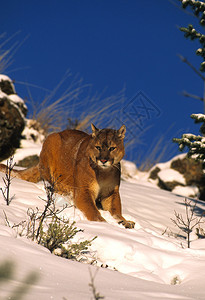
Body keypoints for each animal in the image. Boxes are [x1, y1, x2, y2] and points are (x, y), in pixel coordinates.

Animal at [0, 123, 136, 229]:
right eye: (98, 147)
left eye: (112, 148)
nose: (103, 160)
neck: (103, 173)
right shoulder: (83, 191)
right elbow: (93, 211)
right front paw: (104, 224)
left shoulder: (111, 193)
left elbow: (116, 211)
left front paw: (124, 222)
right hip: (51, 142)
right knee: (49, 183)